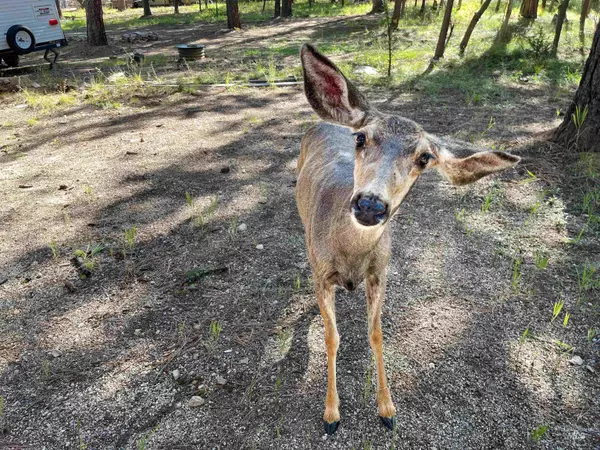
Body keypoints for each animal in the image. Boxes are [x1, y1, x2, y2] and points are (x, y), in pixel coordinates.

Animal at [296, 44, 520, 434]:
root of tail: (325, 121)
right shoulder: (322, 273)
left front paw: (387, 409)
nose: (371, 204)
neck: (350, 255)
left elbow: (376, 334)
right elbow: (331, 337)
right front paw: (331, 414)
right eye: (361, 138)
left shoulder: (381, 272)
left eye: (425, 157)